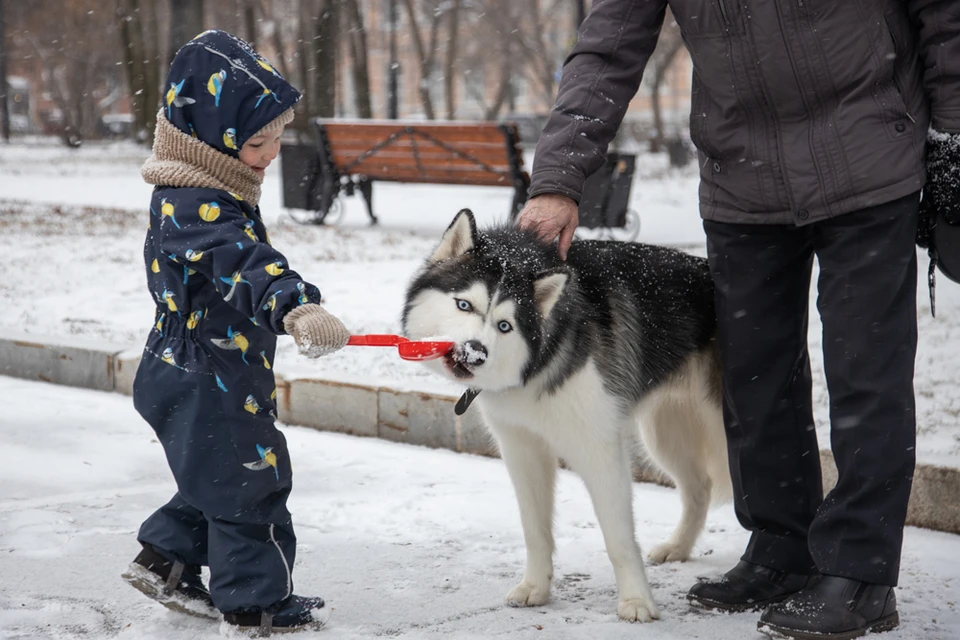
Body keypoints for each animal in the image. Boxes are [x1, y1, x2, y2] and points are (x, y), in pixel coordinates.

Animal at [404, 212, 728, 624]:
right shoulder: (522, 447)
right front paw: (535, 588)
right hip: (665, 433)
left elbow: (619, 538)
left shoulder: (599, 446)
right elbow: (534, 528)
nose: (475, 352)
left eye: (505, 325)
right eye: (464, 305)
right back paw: (678, 547)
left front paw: (636, 601)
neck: (542, 357)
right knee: (699, 488)